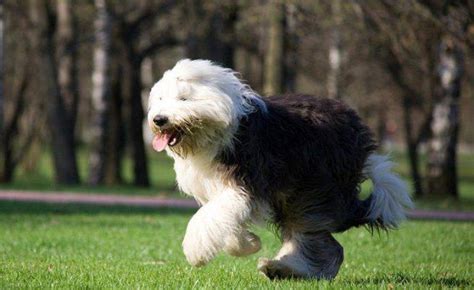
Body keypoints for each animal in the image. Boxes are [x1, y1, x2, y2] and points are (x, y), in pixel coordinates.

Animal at [146, 58, 412, 278]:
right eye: (160, 99)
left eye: (184, 99)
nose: (159, 119)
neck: (219, 130)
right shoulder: (220, 190)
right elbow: (222, 219)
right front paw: (247, 244)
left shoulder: (243, 184)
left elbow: (208, 217)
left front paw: (196, 252)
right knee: (323, 244)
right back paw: (281, 269)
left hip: (315, 187)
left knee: (318, 240)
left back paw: (282, 268)